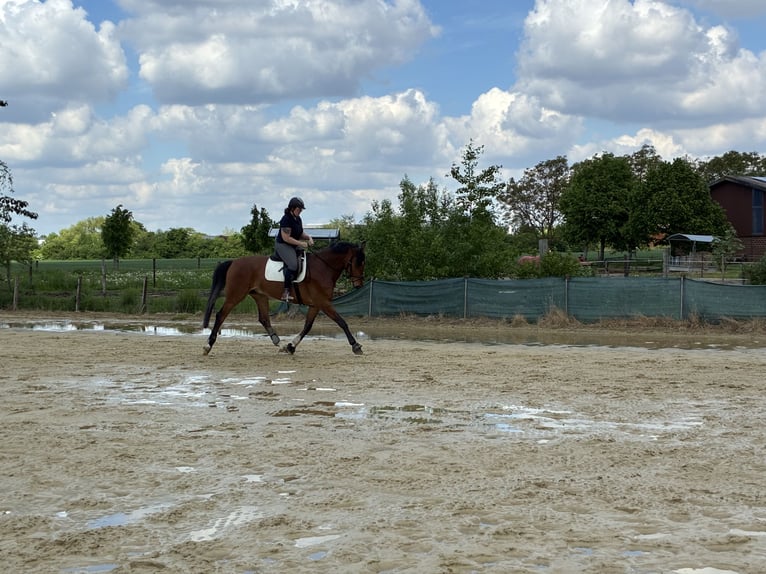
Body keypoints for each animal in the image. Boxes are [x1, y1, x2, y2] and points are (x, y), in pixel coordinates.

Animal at [202, 241, 366, 356]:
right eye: (358, 262)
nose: (359, 285)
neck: (323, 268)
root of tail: (234, 262)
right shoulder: (324, 303)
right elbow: (342, 322)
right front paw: (356, 346)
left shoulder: (316, 305)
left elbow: (307, 326)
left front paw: (291, 346)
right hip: (236, 295)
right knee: (221, 315)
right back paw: (208, 346)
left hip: (260, 296)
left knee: (264, 319)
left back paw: (279, 344)